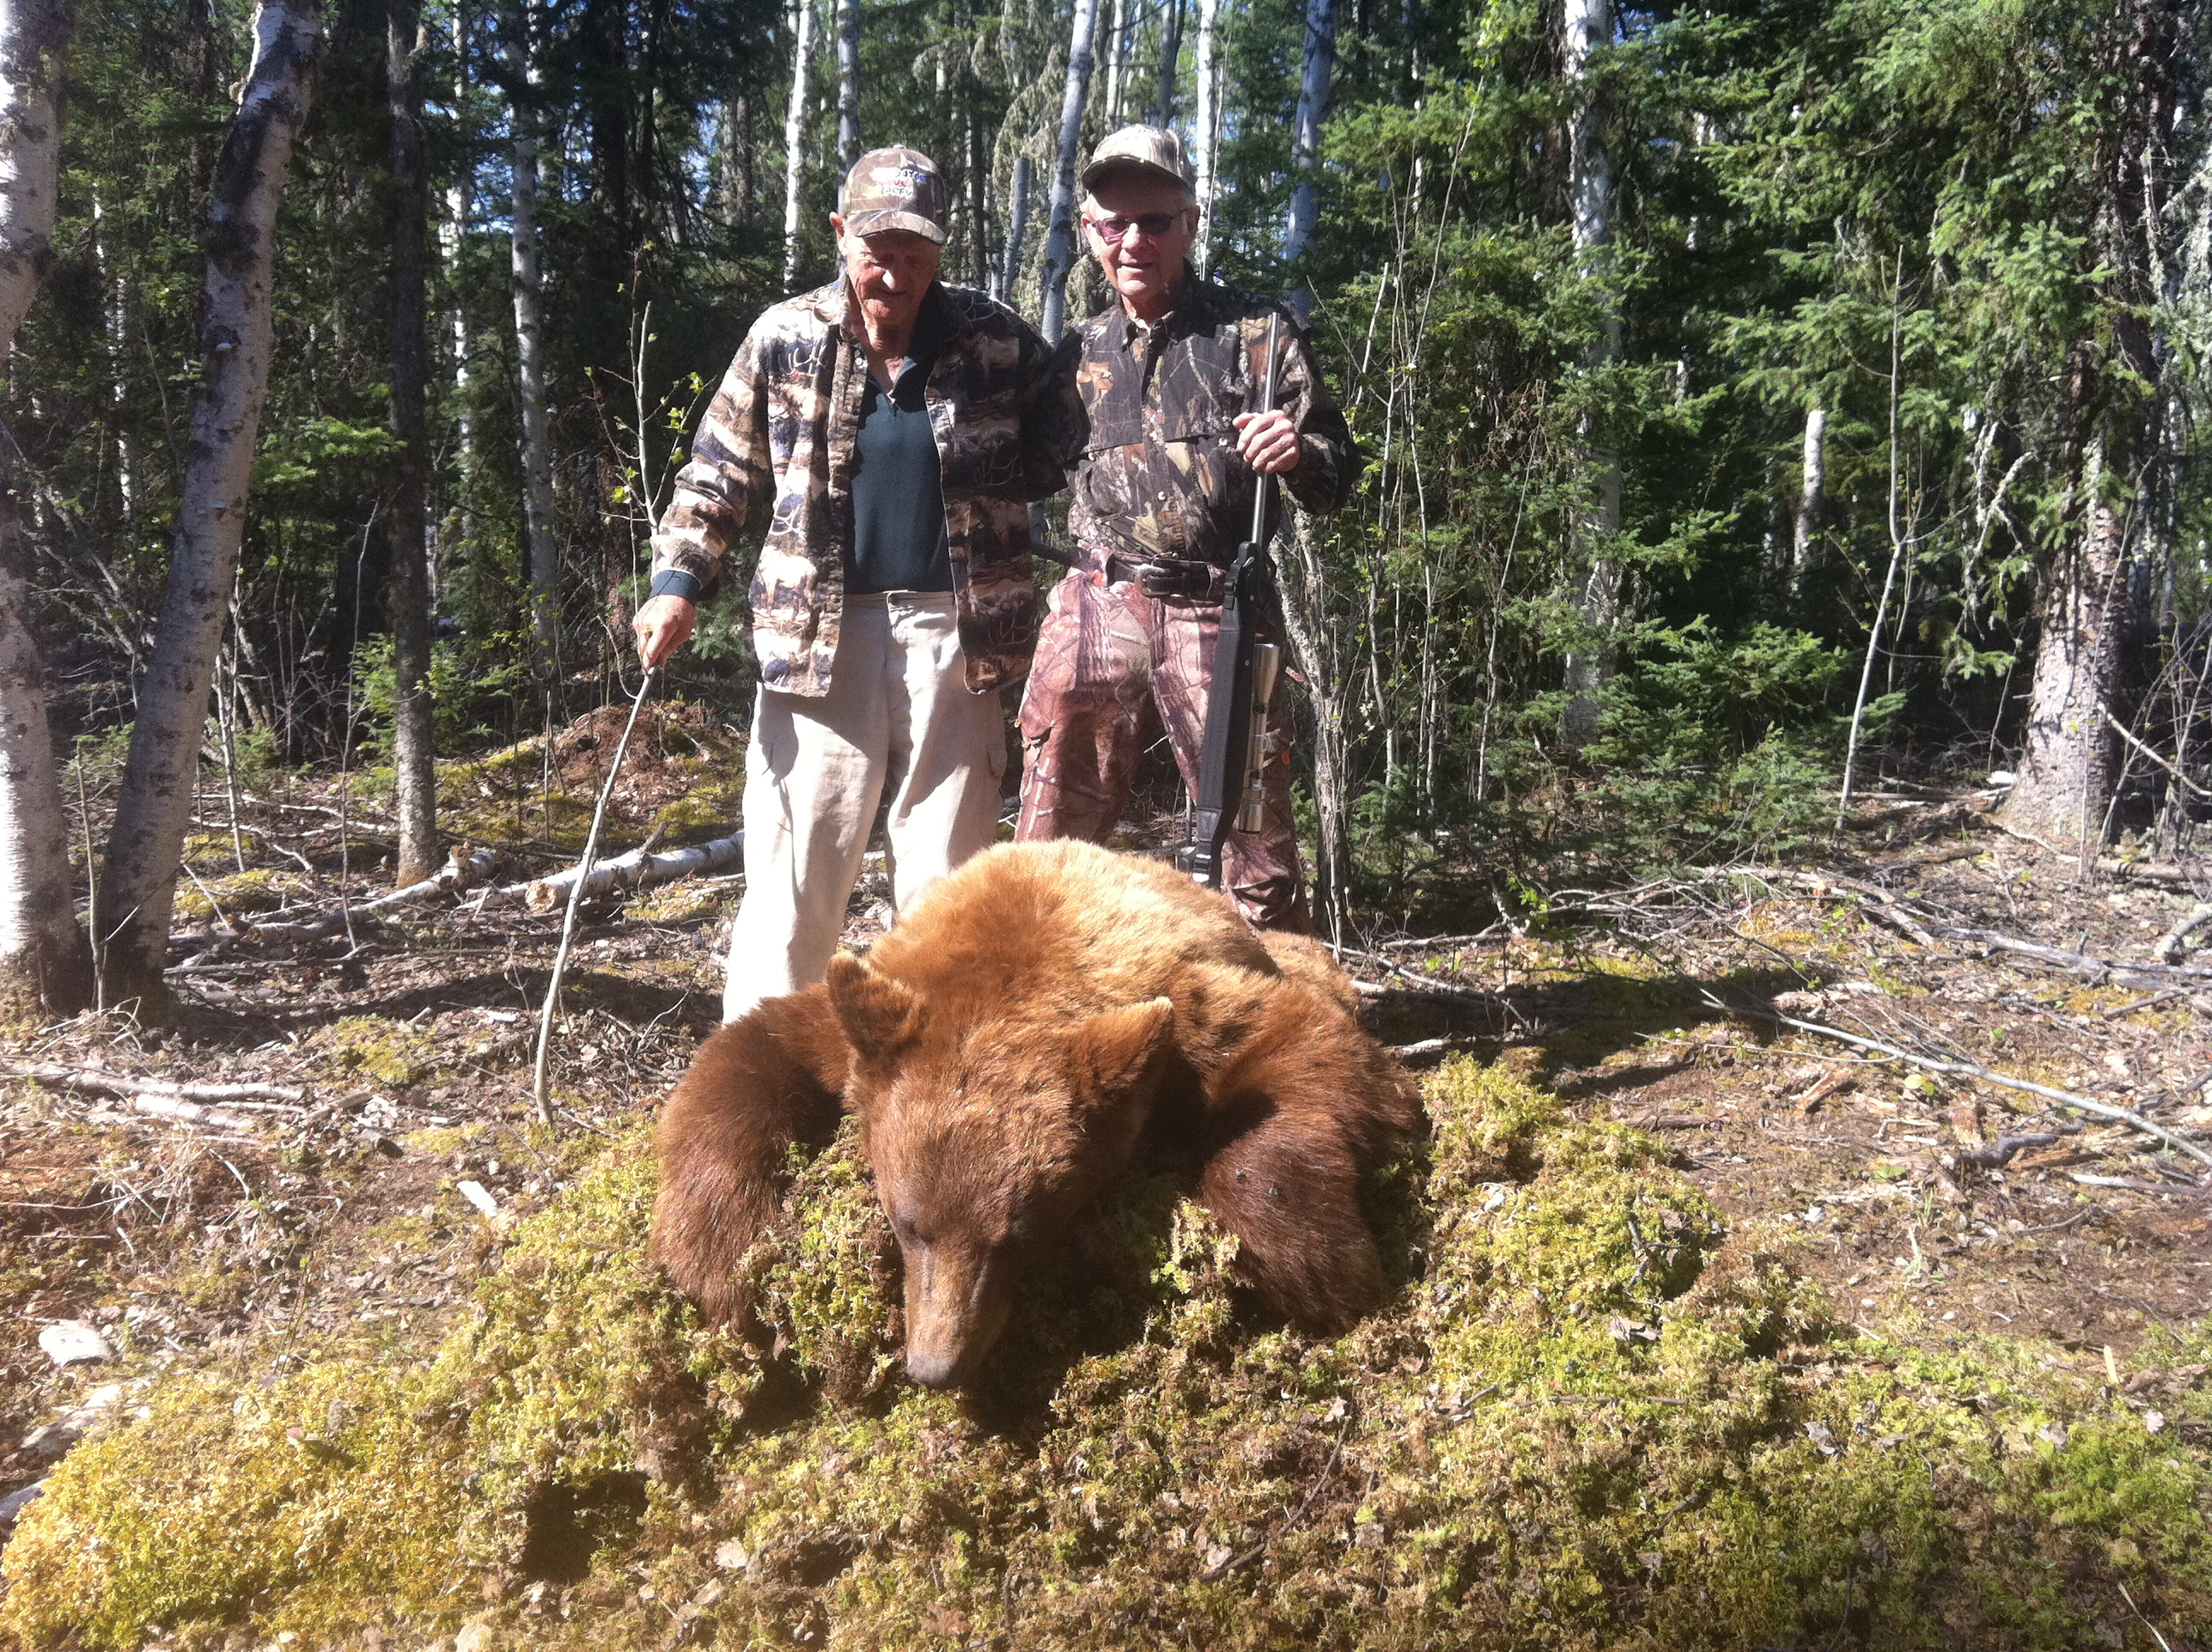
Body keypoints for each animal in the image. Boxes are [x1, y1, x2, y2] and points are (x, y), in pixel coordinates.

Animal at [648, 838, 1421, 1388]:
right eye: (909, 1224)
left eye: (1020, 1237)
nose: (937, 1368)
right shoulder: (872, 1014)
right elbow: (752, 1051)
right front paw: (720, 1259)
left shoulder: (1192, 1000)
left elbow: (1304, 1045)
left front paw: (1317, 1260)